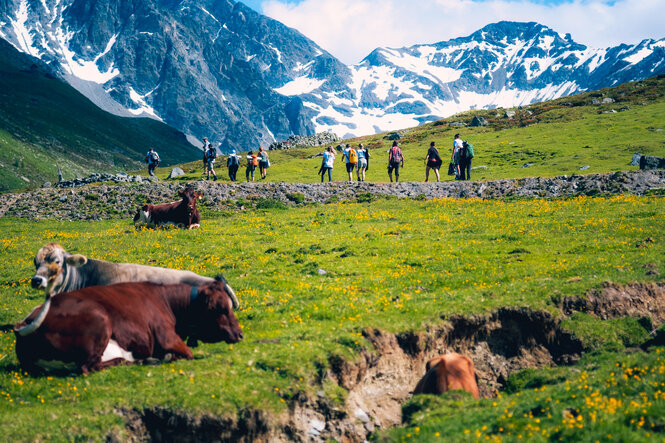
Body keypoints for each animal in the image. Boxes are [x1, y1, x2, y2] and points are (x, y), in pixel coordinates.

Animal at [14, 278, 243, 374]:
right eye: (221, 308)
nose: (240, 334)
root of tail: (27, 322)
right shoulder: (167, 337)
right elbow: (187, 354)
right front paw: (167, 357)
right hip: (101, 321)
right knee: (89, 367)